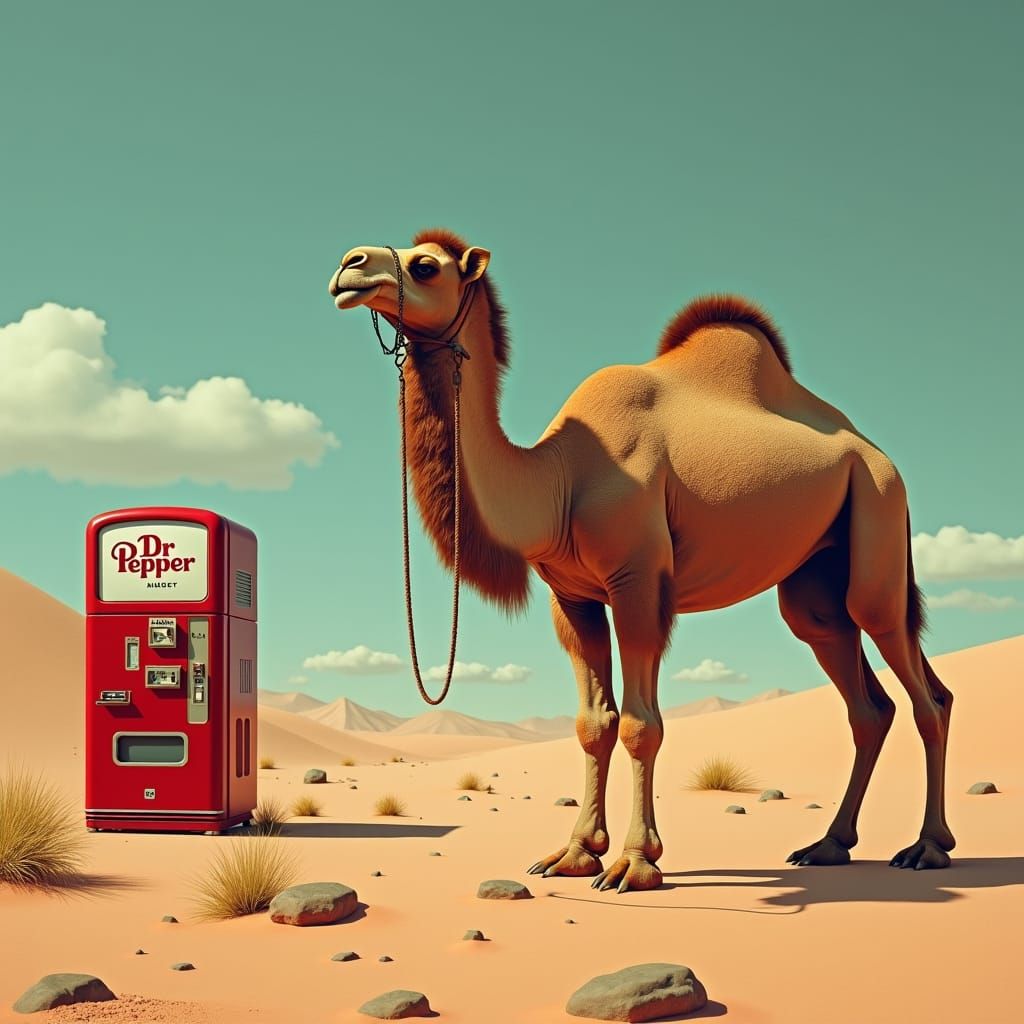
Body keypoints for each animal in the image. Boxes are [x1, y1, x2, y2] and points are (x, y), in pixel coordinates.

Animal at [327, 228, 955, 892]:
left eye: (426, 266)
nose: (349, 266)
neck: (557, 477)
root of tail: (877, 453)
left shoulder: (638, 581)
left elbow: (639, 724)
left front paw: (635, 862)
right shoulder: (573, 599)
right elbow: (592, 724)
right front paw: (575, 853)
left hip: (878, 511)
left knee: (922, 691)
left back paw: (927, 847)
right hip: (816, 581)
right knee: (863, 693)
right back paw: (829, 844)